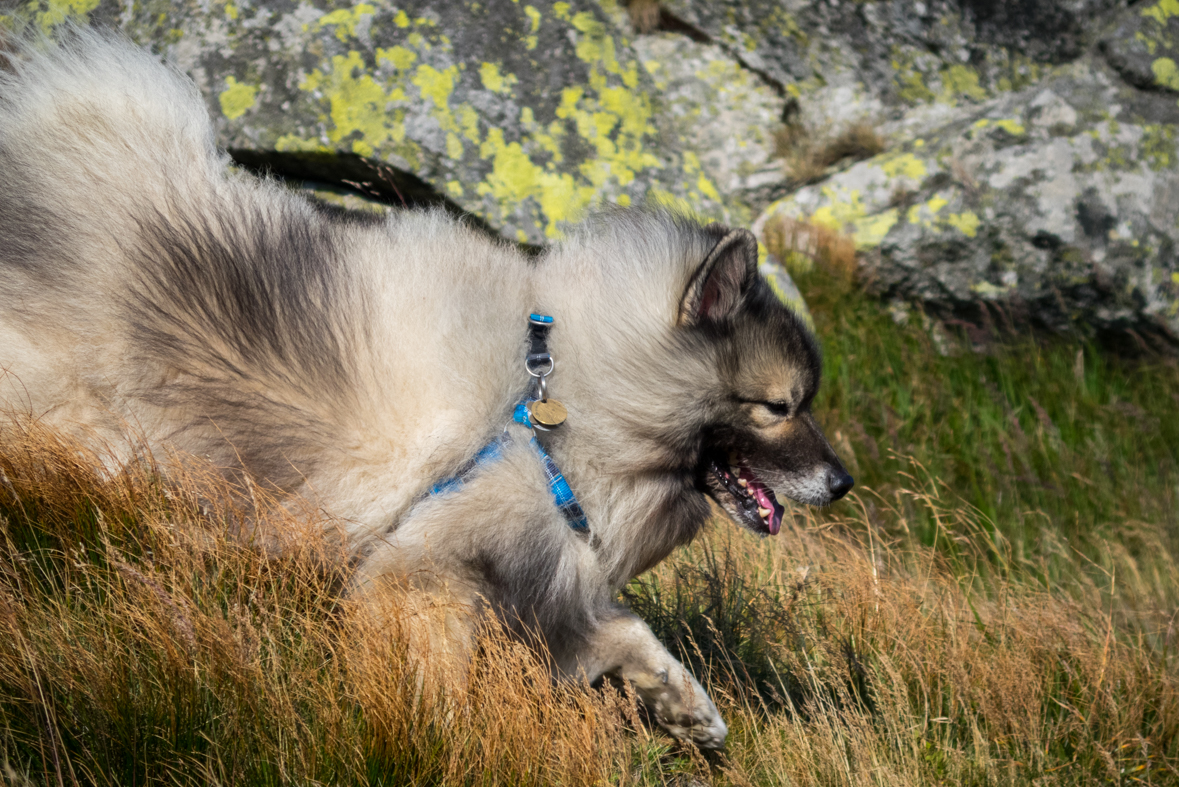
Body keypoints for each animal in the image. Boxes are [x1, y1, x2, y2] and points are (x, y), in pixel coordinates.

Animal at [0, 27, 853, 749]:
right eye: (778, 407)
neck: (557, 407)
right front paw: (443, 738)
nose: (843, 482)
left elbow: (627, 630)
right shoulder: (431, 565)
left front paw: (685, 706)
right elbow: (444, 671)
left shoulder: (549, 575)